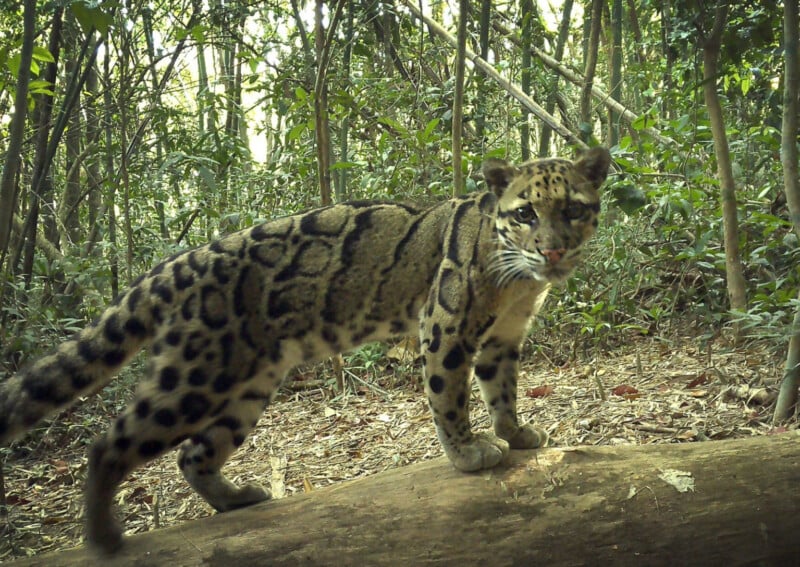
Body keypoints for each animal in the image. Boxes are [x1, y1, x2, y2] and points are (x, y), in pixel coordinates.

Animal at [0, 147, 610, 554]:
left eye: (573, 209)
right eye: (526, 213)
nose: (554, 252)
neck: (520, 280)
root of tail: (180, 262)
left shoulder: (503, 337)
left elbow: (501, 388)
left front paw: (516, 432)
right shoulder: (445, 325)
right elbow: (450, 397)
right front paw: (468, 453)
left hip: (246, 386)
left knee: (193, 453)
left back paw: (237, 498)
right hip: (196, 376)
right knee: (110, 443)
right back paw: (104, 537)